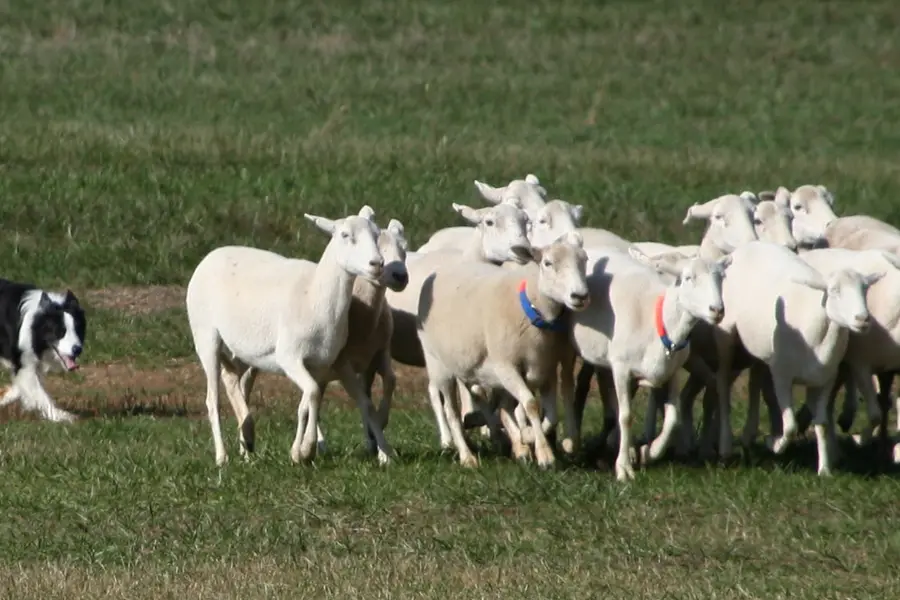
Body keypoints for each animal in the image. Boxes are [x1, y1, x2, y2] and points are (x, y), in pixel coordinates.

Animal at [185, 206, 391, 466]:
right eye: (345, 235)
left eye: (376, 235)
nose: (377, 263)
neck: (315, 295)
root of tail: (210, 255)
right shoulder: (289, 357)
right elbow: (312, 394)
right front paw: (303, 450)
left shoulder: (326, 362)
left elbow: (316, 402)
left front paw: (304, 450)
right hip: (206, 336)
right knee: (213, 399)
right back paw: (222, 457)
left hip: (241, 350)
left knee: (232, 381)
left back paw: (247, 440)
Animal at [415, 231, 590, 468]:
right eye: (547, 263)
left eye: (584, 260)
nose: (580, 296)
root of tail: (442, 270)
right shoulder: (506, 366)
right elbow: (531, 404)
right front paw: (545, 454)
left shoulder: (545, 369)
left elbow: (551, 414)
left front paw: (528, 437)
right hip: (439, 365)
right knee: (452, 412)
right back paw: (467, 456)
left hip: (470, 364)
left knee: (497, 404)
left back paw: (515, 444)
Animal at [567, 246, 730, 480]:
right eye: (688, 278)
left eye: (721, 278)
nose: (717, 310)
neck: (658, 321)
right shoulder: (621, 369)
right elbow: (626, 416)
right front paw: (624, 468)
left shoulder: (672, 372)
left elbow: (672, 418)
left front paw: (648, 452)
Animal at [702, 241, 881, 475]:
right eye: (834, 291)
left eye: (865, 289)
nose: (863, 319)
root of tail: (749, 245)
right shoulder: (782, 377)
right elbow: (790, 426)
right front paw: (775, 444)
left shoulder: (825, 379)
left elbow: (822, 423)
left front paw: (824, 469)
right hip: (726, 336)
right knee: (723, 385)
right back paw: (725, 447)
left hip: (762, 350)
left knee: (754, 382)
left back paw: (748, 436)